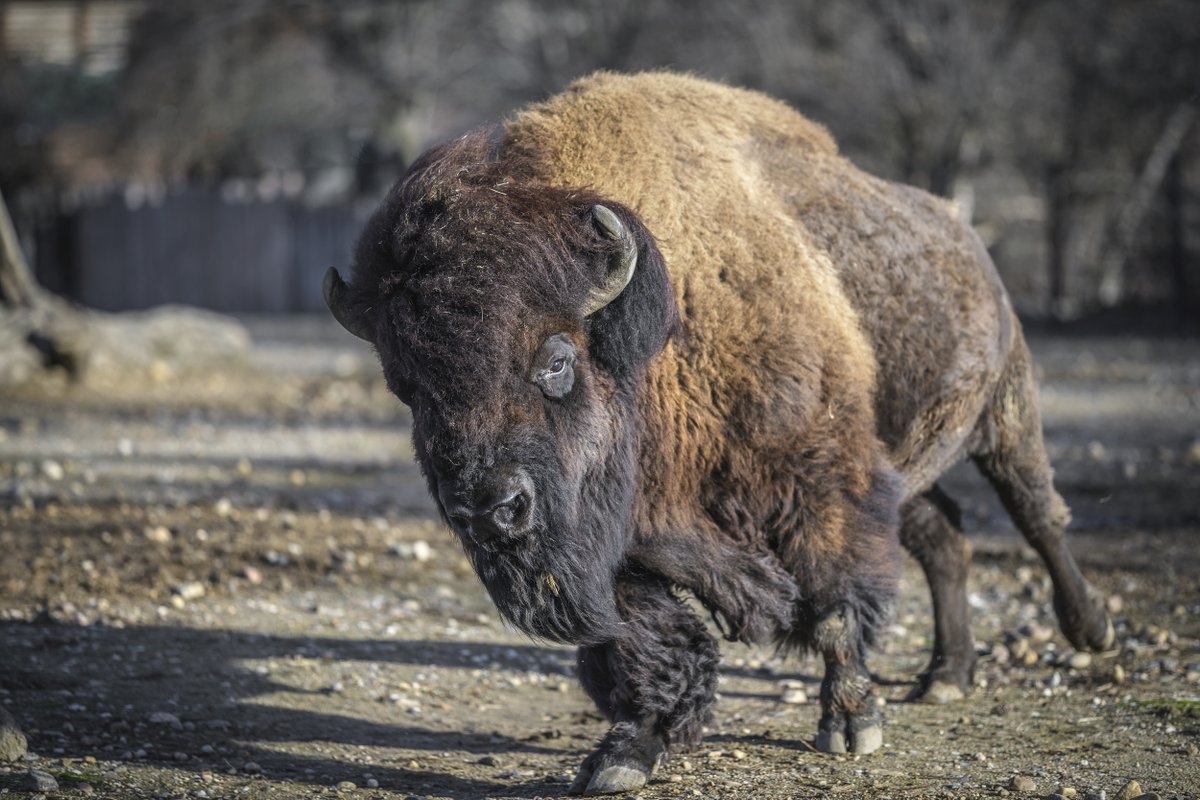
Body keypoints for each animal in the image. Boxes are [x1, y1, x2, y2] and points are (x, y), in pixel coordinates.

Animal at [321, 70, 1113, 796]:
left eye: (556, 358)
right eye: (408, 386)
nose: (490, 508)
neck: (659, 330)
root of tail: (967, 237)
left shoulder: (822, 480)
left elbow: (834, 602)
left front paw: (851, 725)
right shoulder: (625, 539)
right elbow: (643, 639)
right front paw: (625, 754)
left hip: (1004, 412)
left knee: (1036, 512)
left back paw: (1090, 631)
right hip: (906, 464)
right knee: (944, 537)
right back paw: (946, 675)